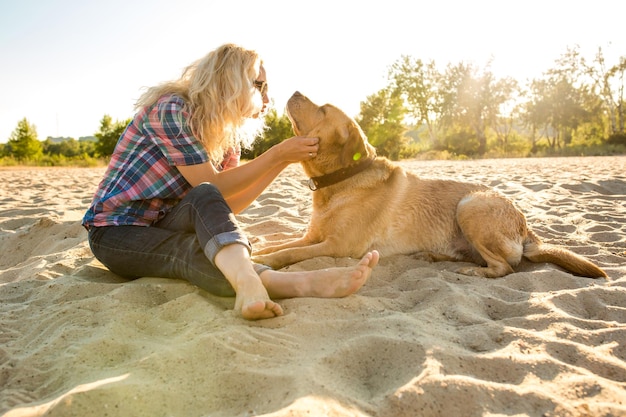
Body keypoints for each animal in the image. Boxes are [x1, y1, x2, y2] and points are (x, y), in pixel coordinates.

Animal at [251, 91, 608, 280]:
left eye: (323, 109)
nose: (296, 92)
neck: (341, 180)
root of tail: (527, 228)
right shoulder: (312, 236)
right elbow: (280, 245)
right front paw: (261, 251)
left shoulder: (338, 247)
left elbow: (289, 254)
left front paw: (266, 262)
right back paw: (434, 258)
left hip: (471, 205)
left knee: (503, 267)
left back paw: (472, 273)